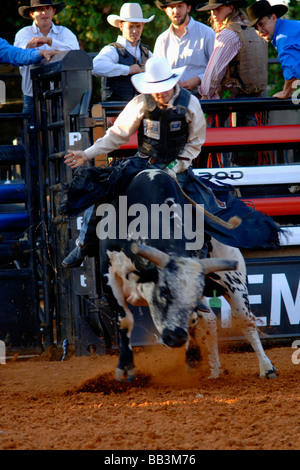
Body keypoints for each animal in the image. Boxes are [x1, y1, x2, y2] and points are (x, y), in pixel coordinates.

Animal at [96, 169, 276, 382]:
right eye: (164, 291)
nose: (176, 338)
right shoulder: (109, 275)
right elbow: (125, 320)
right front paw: (125, 367)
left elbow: (192, 320)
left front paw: (193, 358)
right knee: (211, 322)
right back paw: (215, 371)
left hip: (235, 282)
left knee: (245, 321)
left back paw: (266, 368)